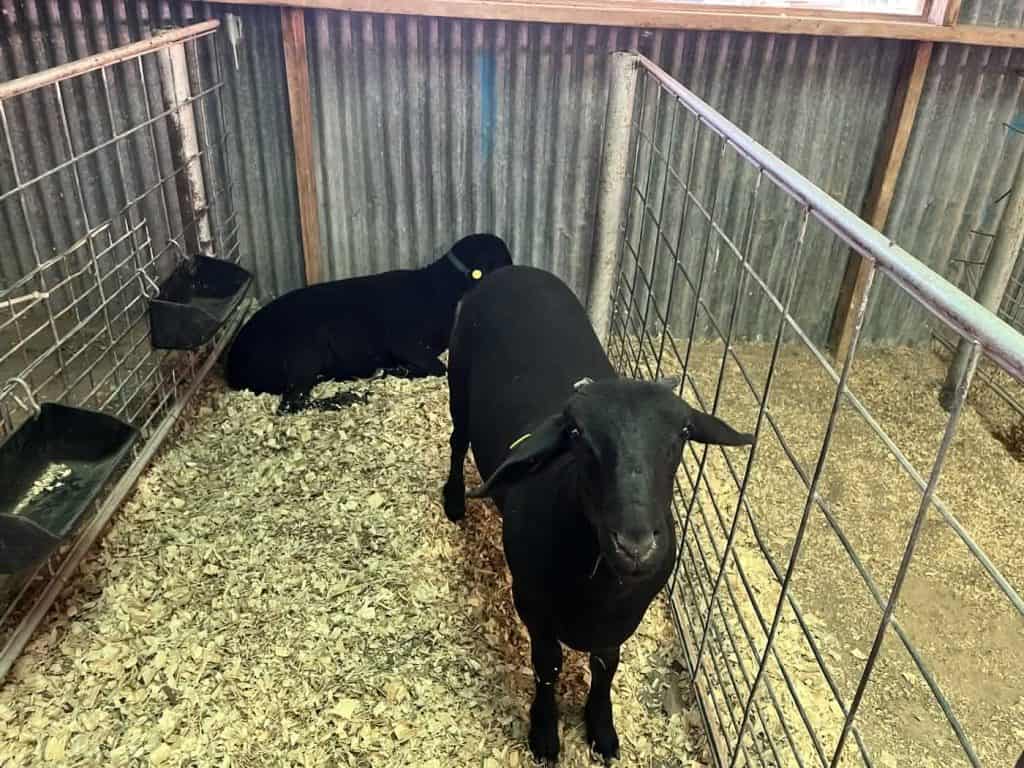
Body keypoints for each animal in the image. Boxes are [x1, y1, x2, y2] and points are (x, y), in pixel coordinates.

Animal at [226, 233, 512, 413]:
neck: (439, 289)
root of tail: (234, 366)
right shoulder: (403, 341)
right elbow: (438, 367)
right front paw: (396, 371)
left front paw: (395, 371)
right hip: (304, 354)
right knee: (291, 404)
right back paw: (346, 399)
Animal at [442, 266, 753, 762]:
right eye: (576, 434)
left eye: (684, 432)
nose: (636, 544)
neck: (601, 582)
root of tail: (512, 270)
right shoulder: (531, 603)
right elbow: (547, 666)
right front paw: (544, 734)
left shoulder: (624, 619)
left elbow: (607, 665)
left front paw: (602, 729)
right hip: (459, 381)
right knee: (457, 439)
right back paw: (454, 501)